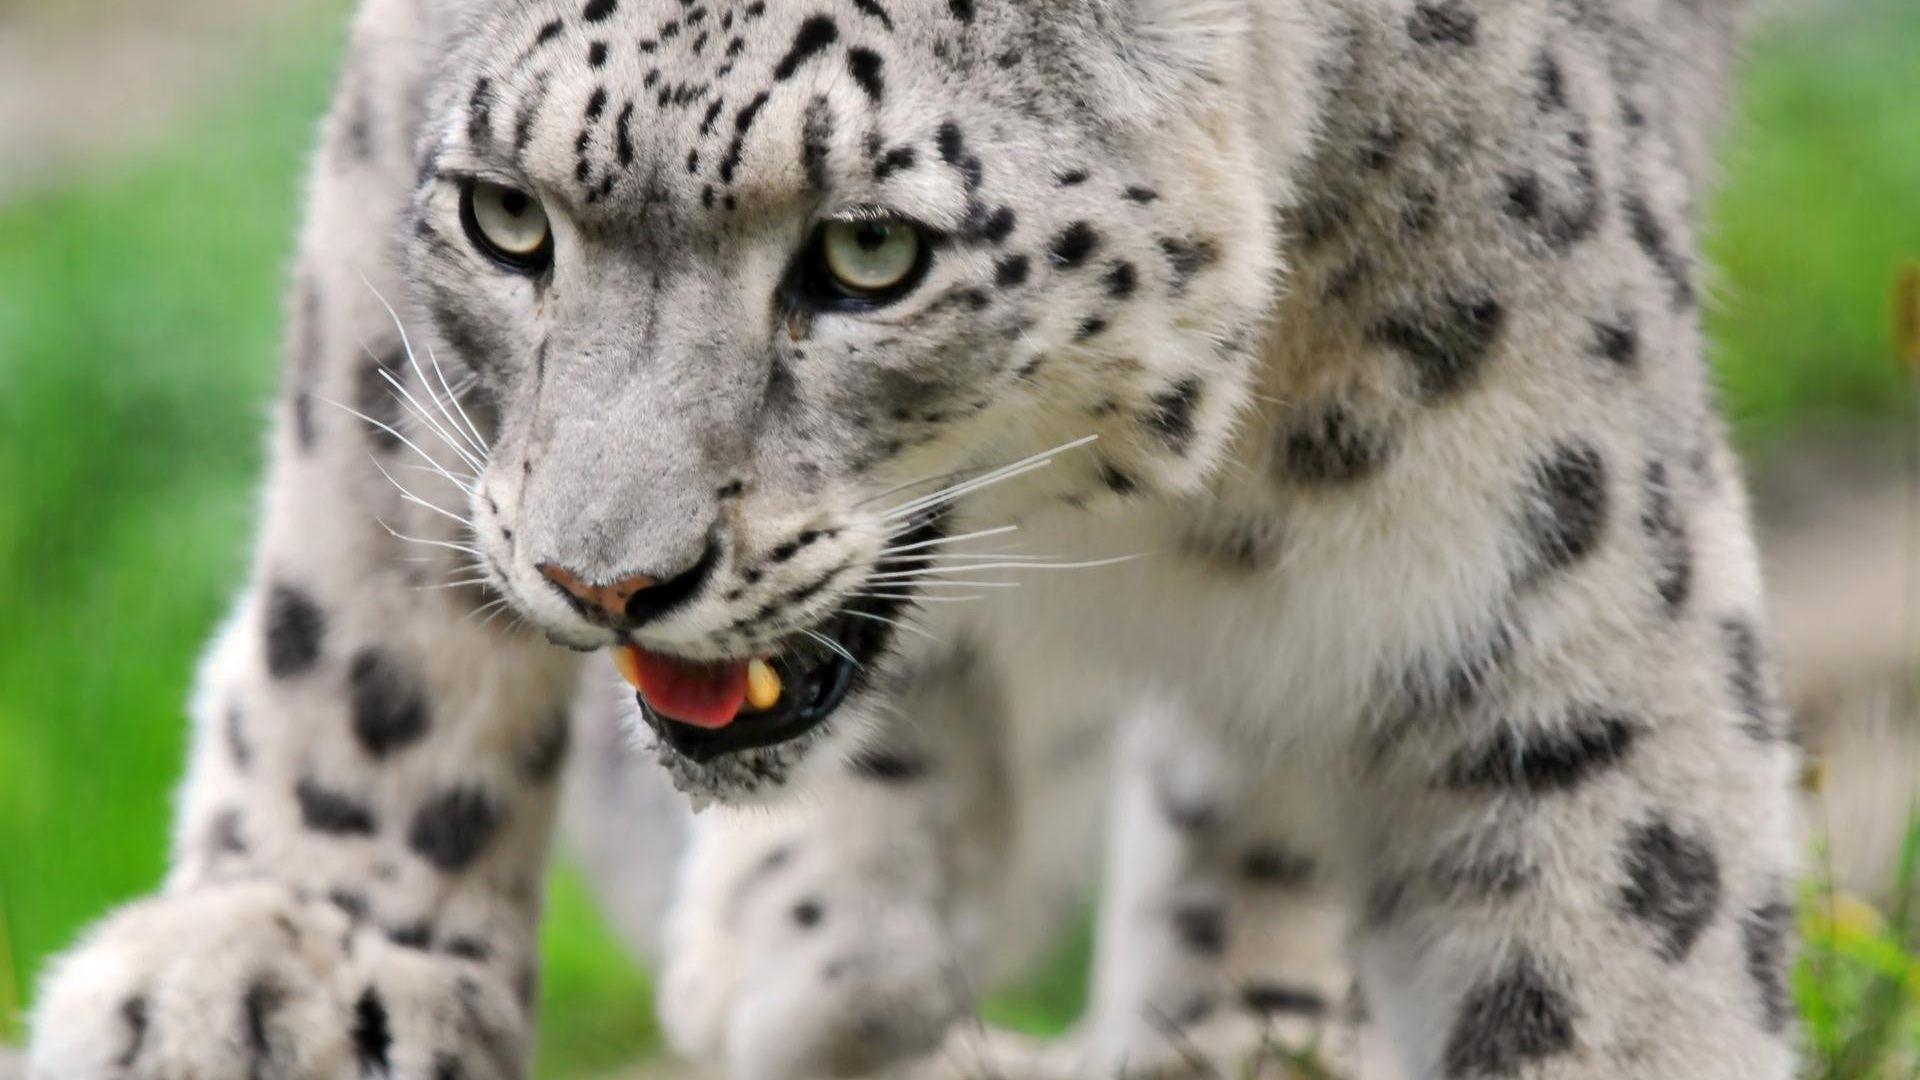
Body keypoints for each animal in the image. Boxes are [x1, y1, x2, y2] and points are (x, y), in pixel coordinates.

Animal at [27, 0, 1798, 1076]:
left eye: (868, 253)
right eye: (505, 218)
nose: (606, 583)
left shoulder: (1558, 587)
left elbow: (1621, 935)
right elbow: (373, 567)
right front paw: (288, 968)